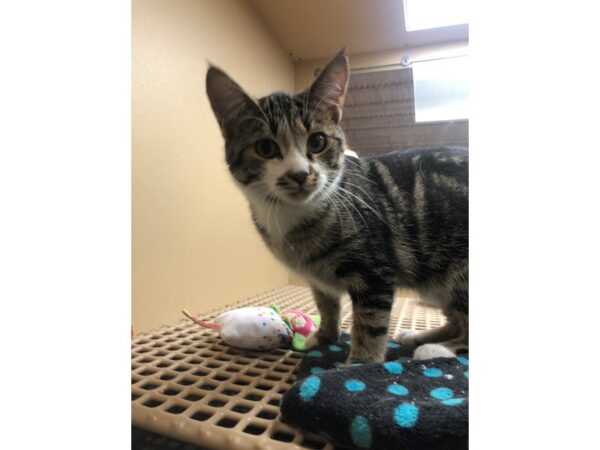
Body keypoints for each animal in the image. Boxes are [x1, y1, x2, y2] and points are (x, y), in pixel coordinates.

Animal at [206, 51, 468, 364]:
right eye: (266, 148)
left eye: (317, 141)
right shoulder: (316, 275)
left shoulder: (375, 272)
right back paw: (420, 336)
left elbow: (369, 323)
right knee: (457, 318)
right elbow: (326, 303)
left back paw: (438, 349)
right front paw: (324, 337)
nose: (300, 174)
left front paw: (359, 364)